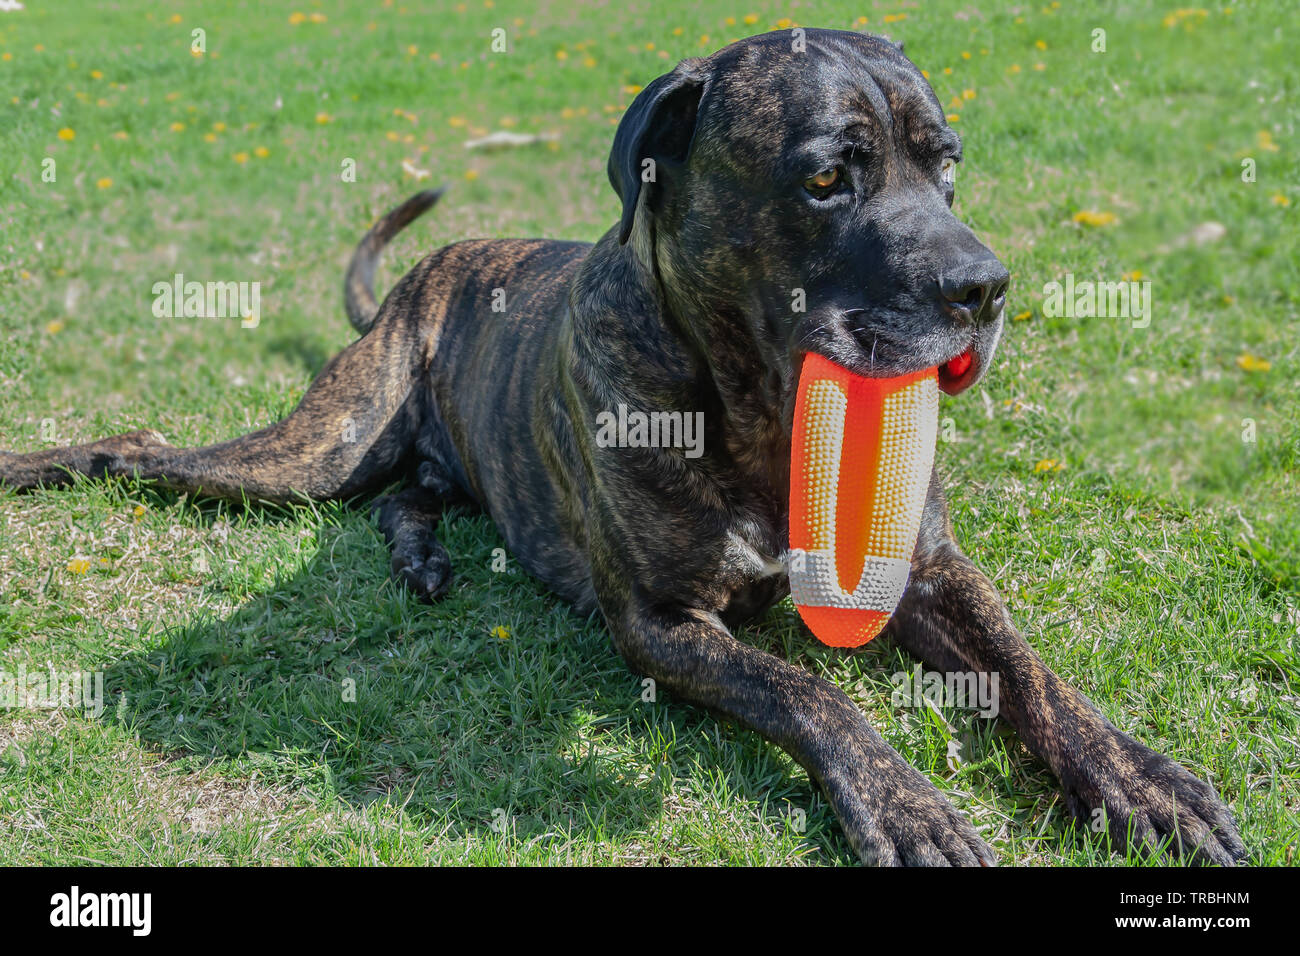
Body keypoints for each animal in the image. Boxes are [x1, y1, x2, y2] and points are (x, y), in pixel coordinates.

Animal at [0, 29, 1248, 868]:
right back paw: (42, 462)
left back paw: (424, 555)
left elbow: (1031, 670)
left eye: (945, 165)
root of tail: (423, 271)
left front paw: (1142, 778)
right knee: (152, 447)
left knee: (408, 495)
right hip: (315, 447)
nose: (983, 287)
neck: (761, 405)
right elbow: (811, 694)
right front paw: (906, 804)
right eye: (825, 177)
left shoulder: (927, 570)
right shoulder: (662, 620)